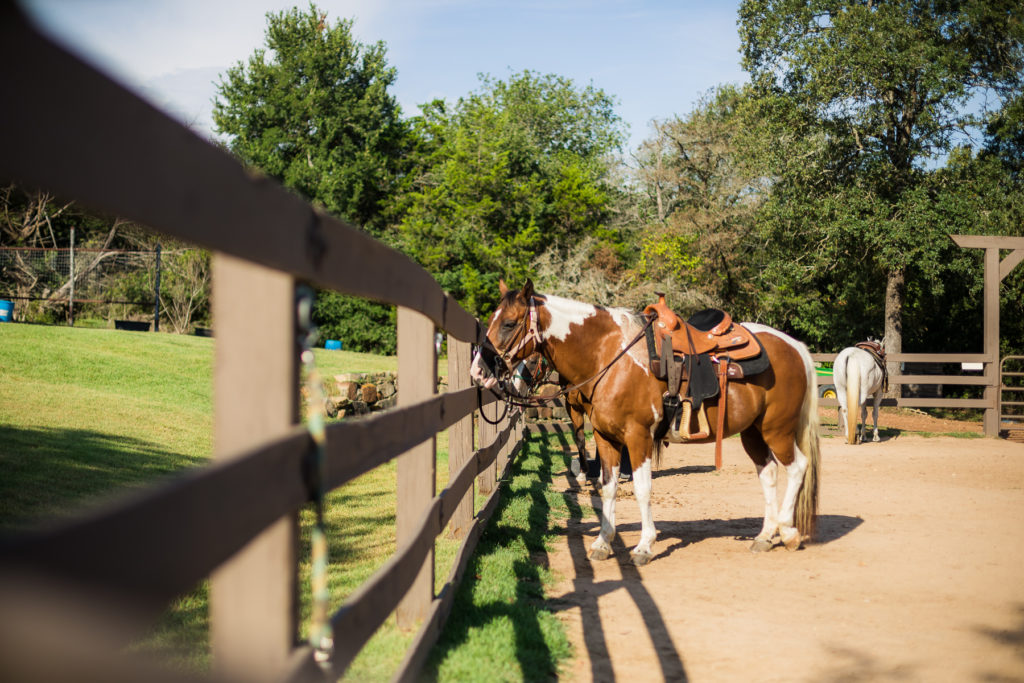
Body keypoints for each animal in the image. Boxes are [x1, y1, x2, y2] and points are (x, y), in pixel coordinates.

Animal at [473, 278, 823, 565]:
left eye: (508, 323)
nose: (478, 370)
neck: (609, 355)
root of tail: (794, 346)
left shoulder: (637, 437)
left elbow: (642, 489)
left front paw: (644, 546)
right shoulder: (605, 438)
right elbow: (608, 488)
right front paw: (603, 542)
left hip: (777, 429)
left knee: (796, 467)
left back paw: (788, 532)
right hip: (753, 432)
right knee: (769, 474)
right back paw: (764, 537)